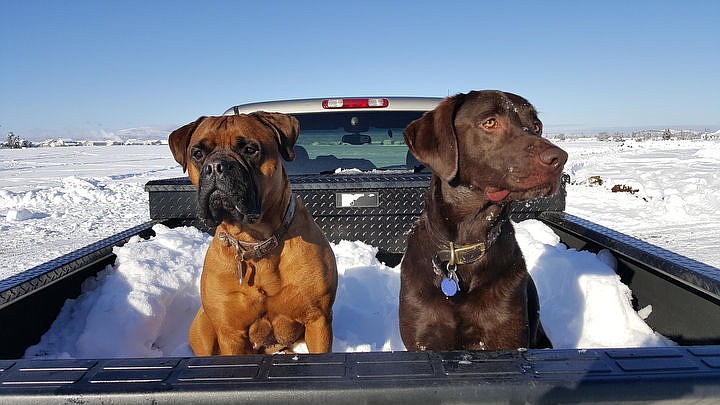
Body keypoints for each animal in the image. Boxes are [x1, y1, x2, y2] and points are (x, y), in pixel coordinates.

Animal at [168, 113, 338, 354]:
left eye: (250, 149)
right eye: (198, 154)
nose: (216, 166)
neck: (256, 241)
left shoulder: (318, 320)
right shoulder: (231, 334)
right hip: (204, 330)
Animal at [396, 90, 564, 350]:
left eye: (537, 126)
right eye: (490, 122)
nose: (560, 159)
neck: (464, 246)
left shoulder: (506, 338)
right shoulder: (423, 339)